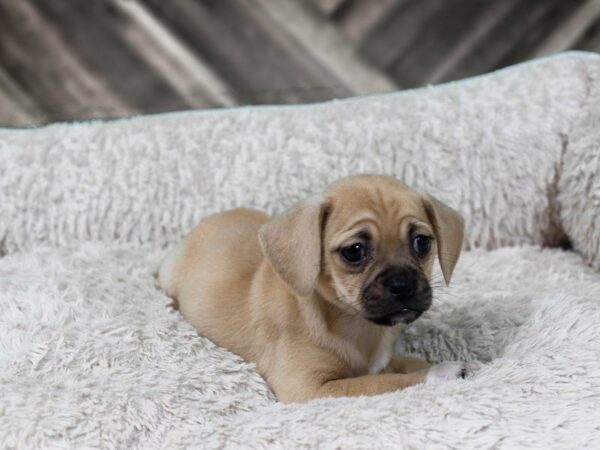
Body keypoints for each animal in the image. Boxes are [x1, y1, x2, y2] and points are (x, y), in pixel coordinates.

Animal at [159, 174, 468, 402]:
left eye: (422, 242)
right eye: (354, 251)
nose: (402, 285)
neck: (353, 325)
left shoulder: (384, 360)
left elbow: (406, 364)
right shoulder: (312, 388)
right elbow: (382, 382)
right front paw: (442, 373)